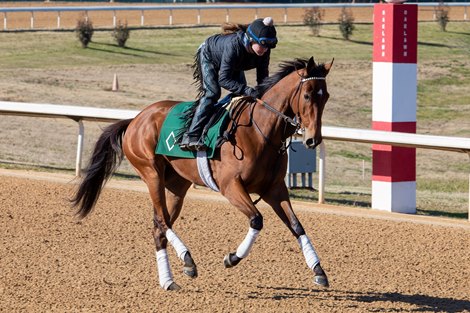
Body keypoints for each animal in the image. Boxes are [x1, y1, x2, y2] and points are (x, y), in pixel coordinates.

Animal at [71, 56, 332, 290]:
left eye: (326, 96)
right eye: (307, 95)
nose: (313, 139)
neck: (260, 132)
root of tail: (136, 119)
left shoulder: (274, 189)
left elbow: (297, 226)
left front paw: (319, 271)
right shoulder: (230, 186)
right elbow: (257, 219)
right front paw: (232, 258)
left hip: (177, 185)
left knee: (159, 226)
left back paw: (169, 280)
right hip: (151, 172)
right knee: (161, 221)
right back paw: (187, 259)